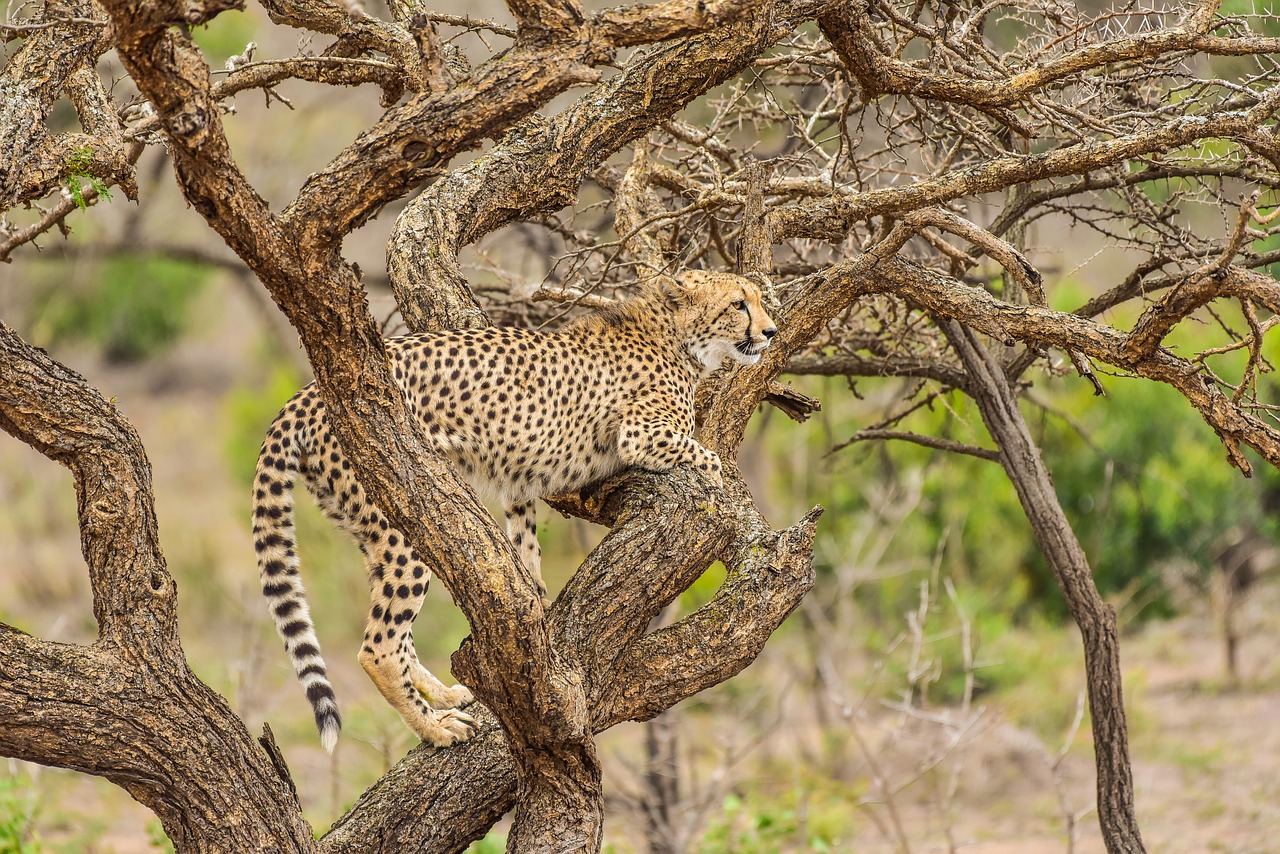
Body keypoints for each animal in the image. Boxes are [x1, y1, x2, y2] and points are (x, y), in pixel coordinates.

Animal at [245, 270, 773, 752]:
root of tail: (306, 391)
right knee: (378, 647)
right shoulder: (640, 435)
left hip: (368, 522)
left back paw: (444, 697)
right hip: (401, 510)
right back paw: (437, 729)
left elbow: (525, 544)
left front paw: (538, 605)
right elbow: (710, 460)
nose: (769, 331)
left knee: (394, 630)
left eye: (759, 298)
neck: (675, 333)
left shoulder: (521, 478)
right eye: (738, 304)